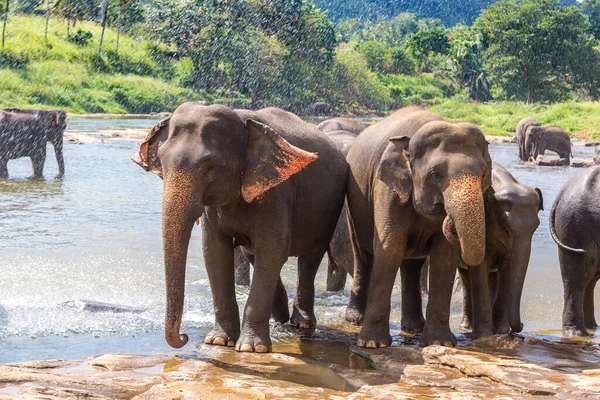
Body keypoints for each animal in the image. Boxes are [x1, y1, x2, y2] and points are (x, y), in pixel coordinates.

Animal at [131, 104, 346, 354]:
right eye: (161, 162)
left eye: (210, 167)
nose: (184, 337)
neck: (244, 120)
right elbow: (215, 253)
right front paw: (218, 340)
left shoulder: (276, 192)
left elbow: (272, 250)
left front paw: (251, 348)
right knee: (255, 255)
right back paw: (279, 319)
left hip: (328, 214)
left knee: (309, 260)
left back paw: (302, 323)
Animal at [342, 106, 492, 346]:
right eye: (436, 175)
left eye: (484, 174)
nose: (449, 219)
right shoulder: (387, 188)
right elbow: (389, 248)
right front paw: (373, 344)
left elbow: (444, 257)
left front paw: (439, 342)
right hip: (353, 205)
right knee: (363, 257)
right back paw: (355, 320)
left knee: (411, 265)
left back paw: (413, 328)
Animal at [460, 162, 544, 338]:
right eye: (504, 227)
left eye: (536, 227)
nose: (521, 325)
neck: (504, 183)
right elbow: (479, 268)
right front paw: (484, 334)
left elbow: (507, 269)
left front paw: (501, 331)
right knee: (465, 278)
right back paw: (467, 327)